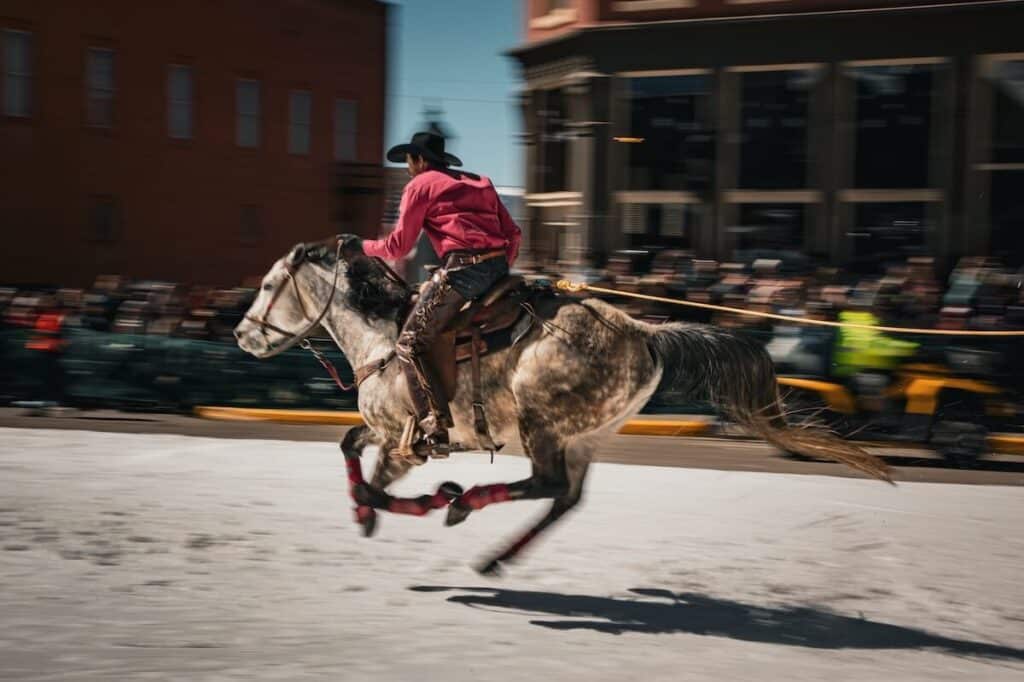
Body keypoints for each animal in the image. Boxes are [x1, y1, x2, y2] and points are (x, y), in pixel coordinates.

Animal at [234, 236, 891, 574]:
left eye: (267, 285)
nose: (241, 334)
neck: (381, 338)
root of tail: (645, 333)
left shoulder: (407, 441)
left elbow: (378, 484)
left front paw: (421, 501)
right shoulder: (384, 430)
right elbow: (349, 446)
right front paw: (363, 515)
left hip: (544, 424)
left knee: (546, 485)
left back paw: (463, 504)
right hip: (585, 435)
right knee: (563, 498)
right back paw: (493, 554)